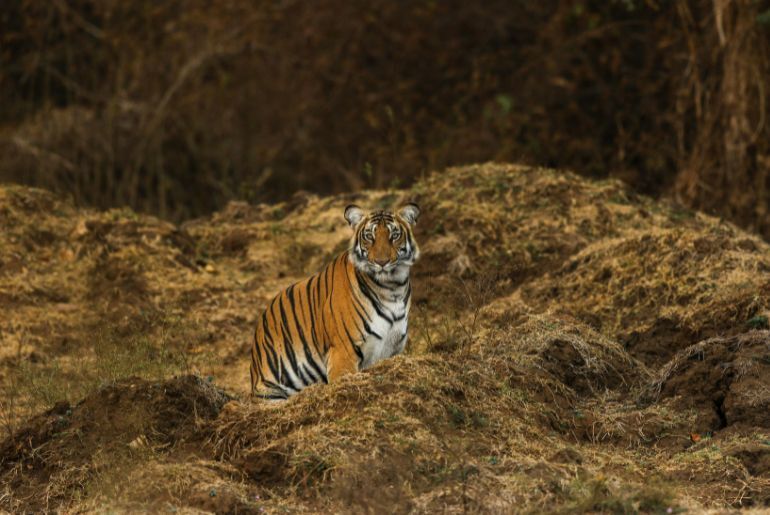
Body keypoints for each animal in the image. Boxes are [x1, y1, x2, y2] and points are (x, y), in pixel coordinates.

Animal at [249, 203, 421, 399]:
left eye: (395, 235)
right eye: (369, 236)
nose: (381, 262)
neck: (391, 289)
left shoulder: (392, 349)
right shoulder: (343, 352)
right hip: (269, 390)